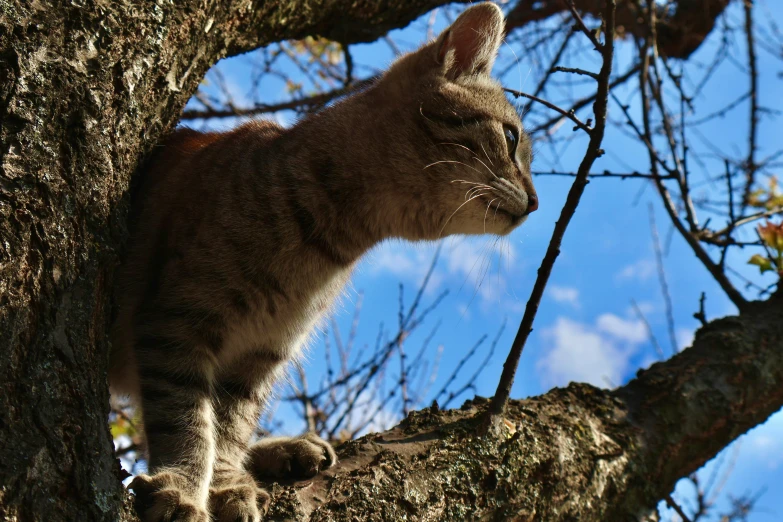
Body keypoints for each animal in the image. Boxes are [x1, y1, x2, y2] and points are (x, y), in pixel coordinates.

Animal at [110, 2, 540, 516]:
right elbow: (187, 419)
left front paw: (227, 482)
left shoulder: (261, 355)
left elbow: (229, 426)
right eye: (511, 138)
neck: (328, 243)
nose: (537, 203)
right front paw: (183, 486)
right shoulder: (176, 322)